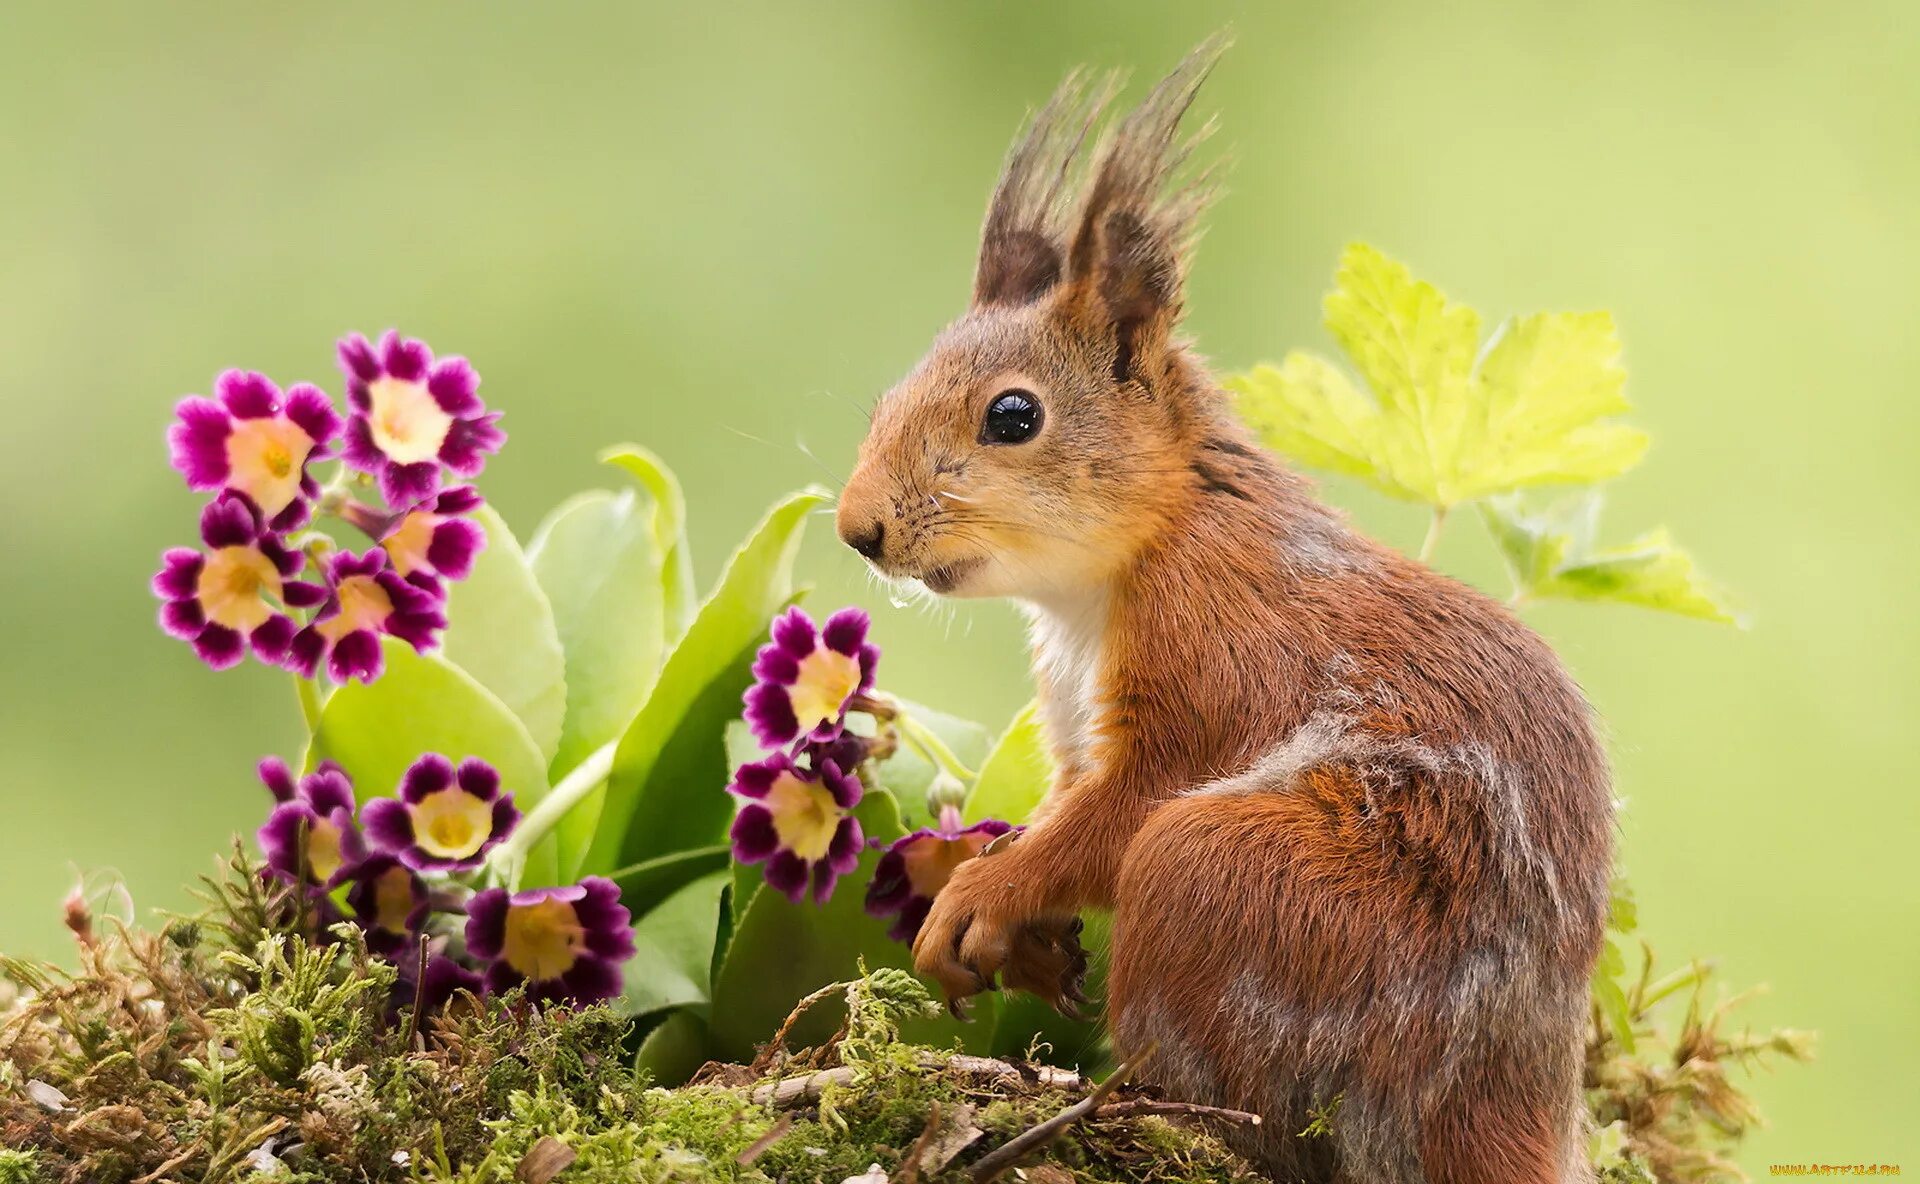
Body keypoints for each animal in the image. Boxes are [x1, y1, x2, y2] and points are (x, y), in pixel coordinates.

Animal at [837, 39, 1605, 1182]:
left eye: (1012, 416)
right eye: (888, 397)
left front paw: (984, 893)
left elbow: (1118, 810)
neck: (1109, 575)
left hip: (1239, 882)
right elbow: (1067, 801)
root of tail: (1493, 1101)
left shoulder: (1217, 655)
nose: (859, 528)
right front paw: (1024, 928)